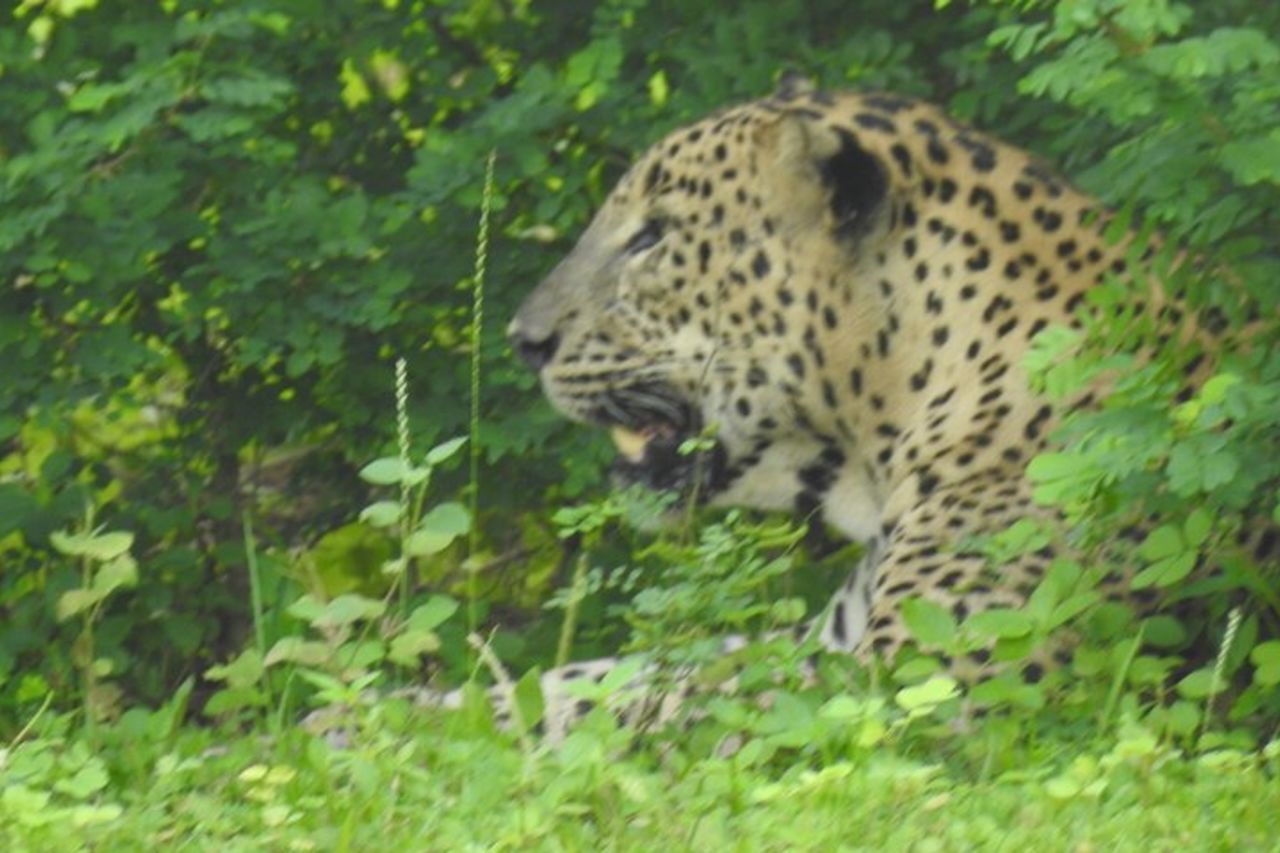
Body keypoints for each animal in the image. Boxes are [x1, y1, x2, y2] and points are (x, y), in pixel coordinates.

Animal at [498, 76, 1244, 737]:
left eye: (652, 236)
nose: (523, 341)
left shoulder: (909, 682)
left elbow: (671, 699)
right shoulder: (829, 640)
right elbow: (616, 674)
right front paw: (481, 696)